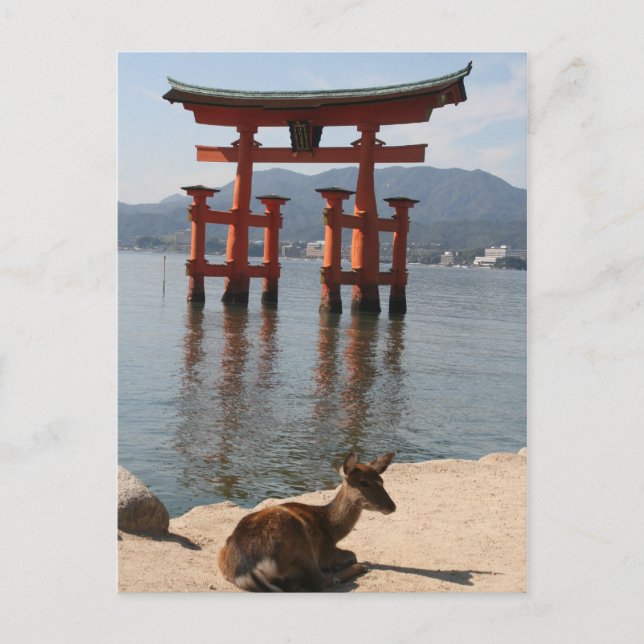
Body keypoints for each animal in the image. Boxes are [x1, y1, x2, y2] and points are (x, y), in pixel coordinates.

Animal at [218, 452, 396, 592]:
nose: (392, 506)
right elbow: (353, 554)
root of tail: (246, 570)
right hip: (299, 536)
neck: (331, 529)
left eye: (382, 480)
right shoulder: (327, 552)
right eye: (363, 482)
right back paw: (356, 569)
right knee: (321, 581)